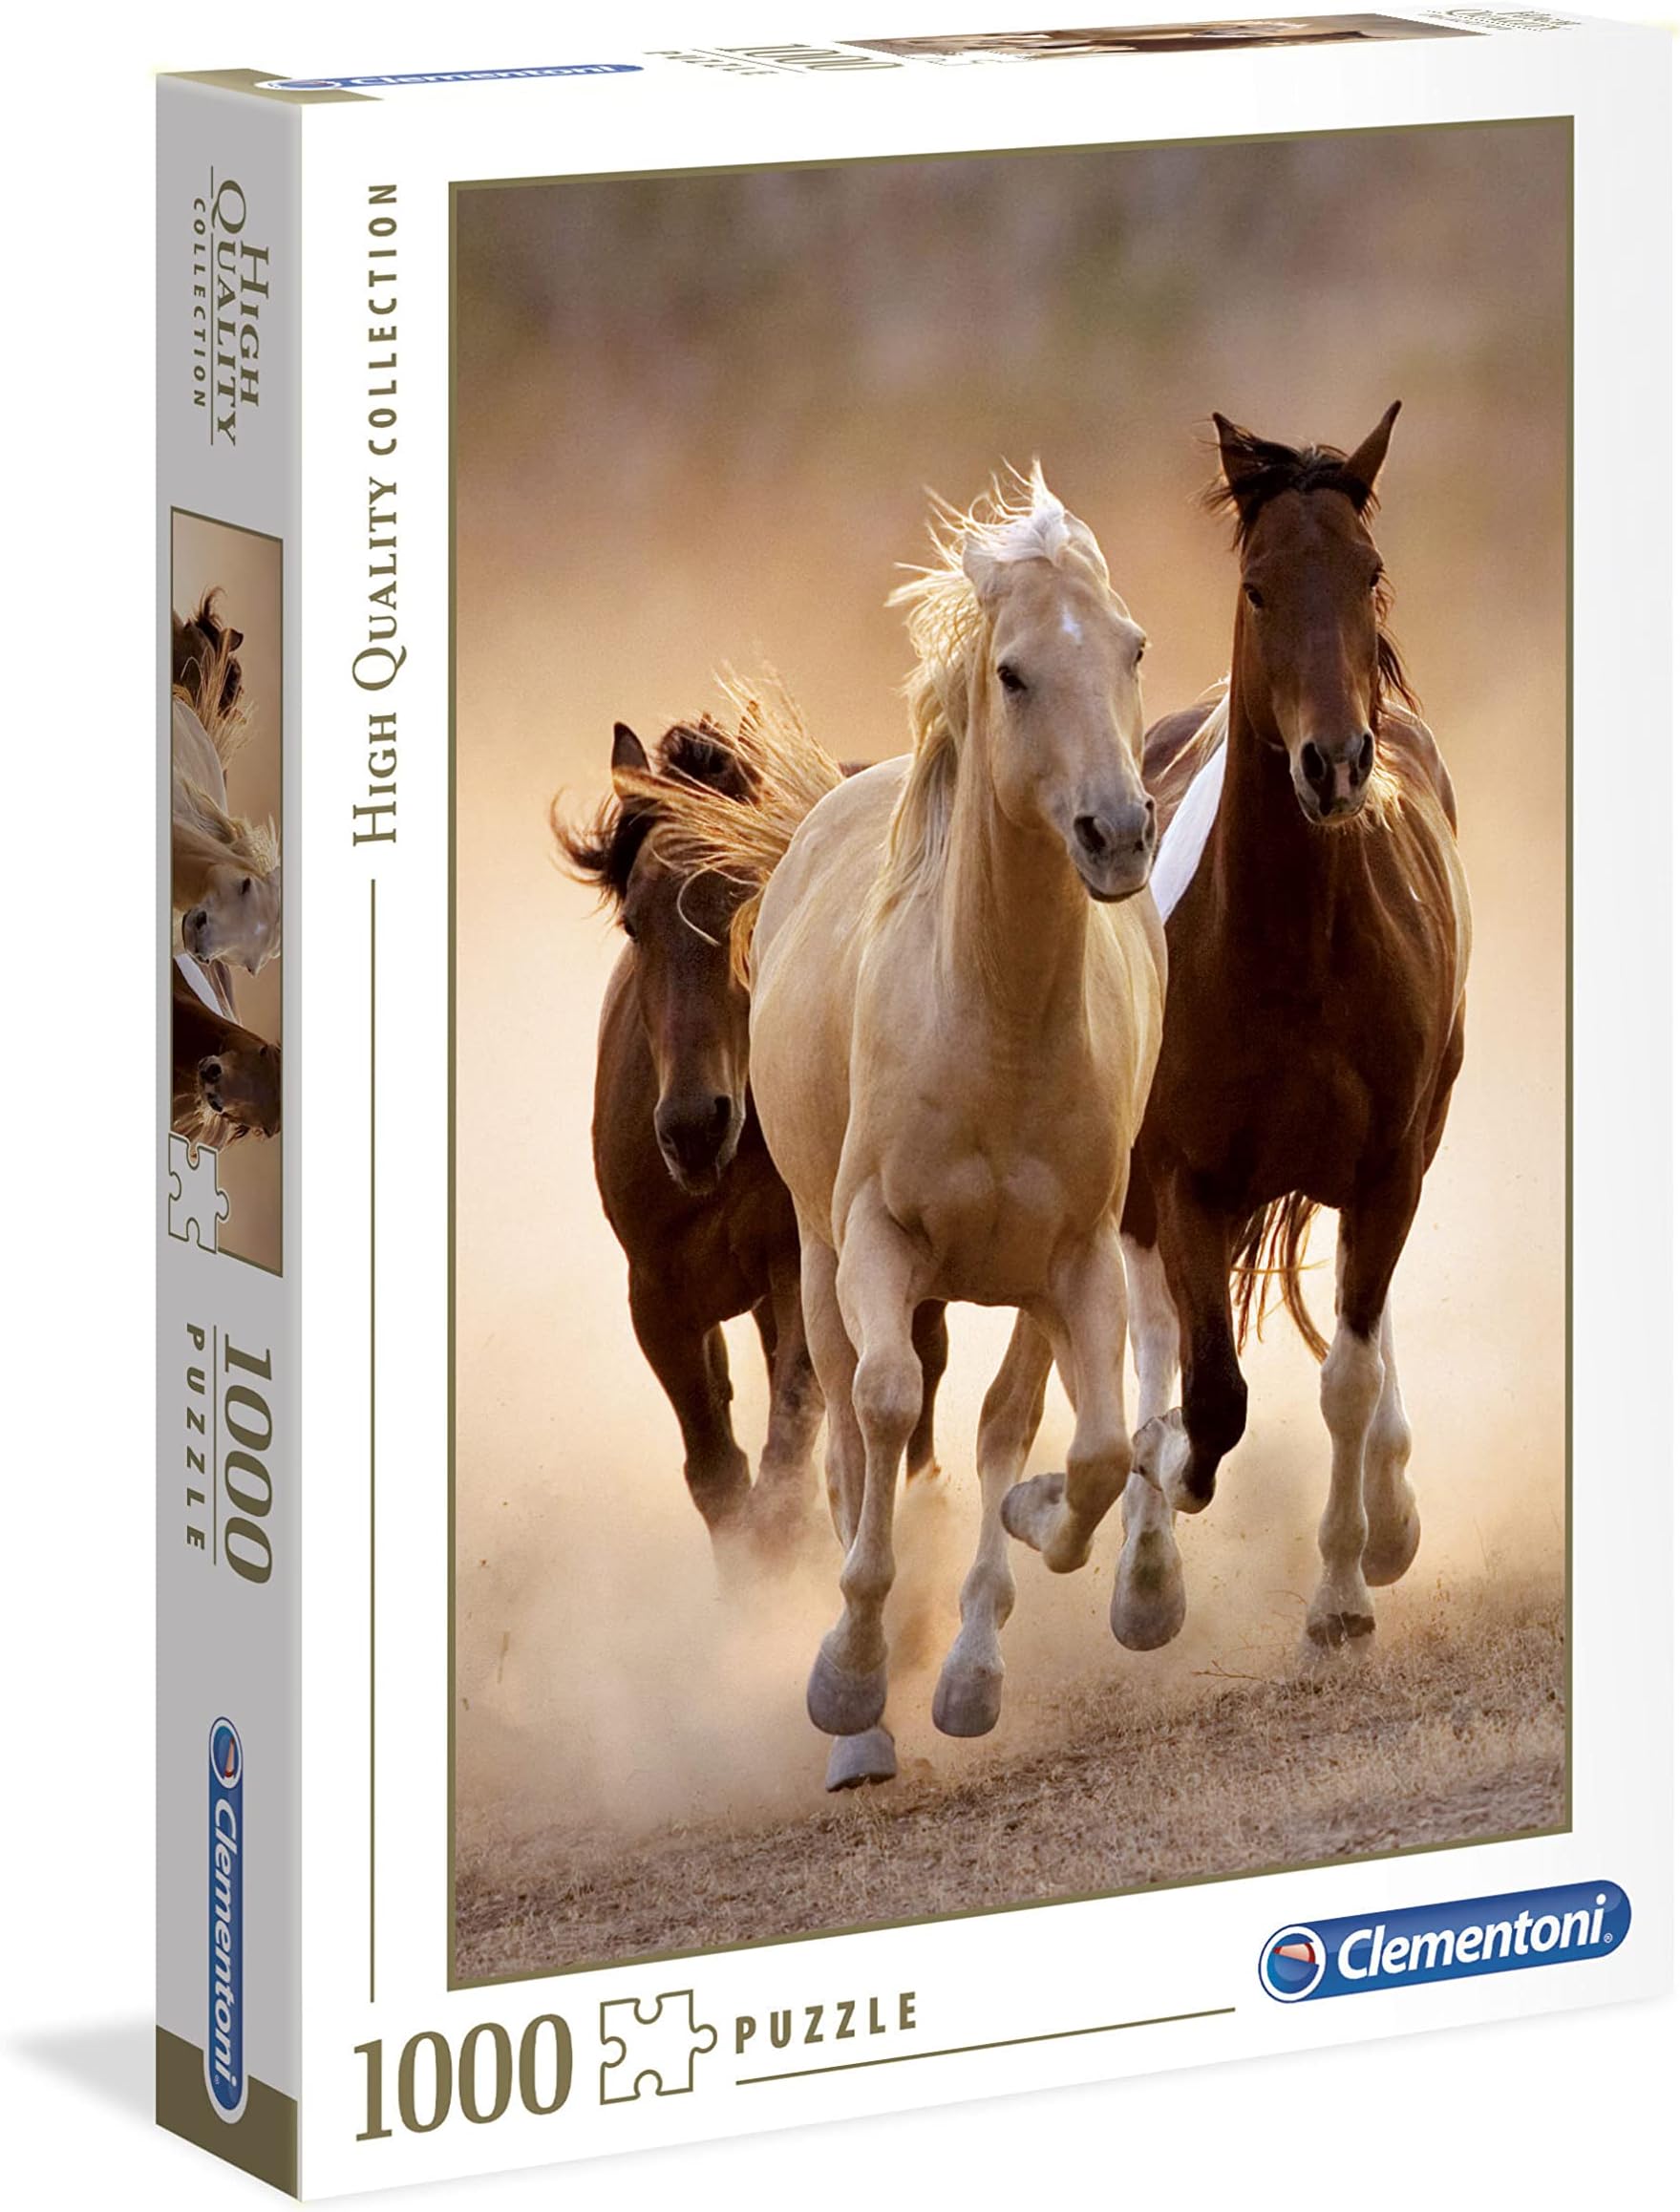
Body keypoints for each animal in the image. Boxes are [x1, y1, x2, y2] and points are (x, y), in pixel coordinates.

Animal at [555, 700, 951, 1583]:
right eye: (634, 921)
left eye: (752, 901)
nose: (693, 1127)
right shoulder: (658, 1298)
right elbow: (718, 1476)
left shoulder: (799, 1269)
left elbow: (784, 1467)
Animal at [646, 471, 1165, 1785]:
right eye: (1014, 673)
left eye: (1132, 647)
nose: (1119, 834)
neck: (994, 1020)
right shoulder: (874, 1243)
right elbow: (880, 1413)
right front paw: (848, 1680)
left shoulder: (1076, 1259)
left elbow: (1079, 1449)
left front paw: (1014, 1585)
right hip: (820, 1264)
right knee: (847, 1430)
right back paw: (864, 1719)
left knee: (1004, 1424)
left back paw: (971, 1660)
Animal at [1116, 404, 1470, 1654]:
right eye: (1259, 587)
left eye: (1366, 573)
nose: (1334, 764)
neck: (1289, 953)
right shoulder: (1182, 1175)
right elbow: (1210, 1393)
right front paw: (1163, 1494)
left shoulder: (1387, 1168)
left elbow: (1346, 1378)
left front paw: (1343, 1590)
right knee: (1152, 1334)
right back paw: (1143, 1565)